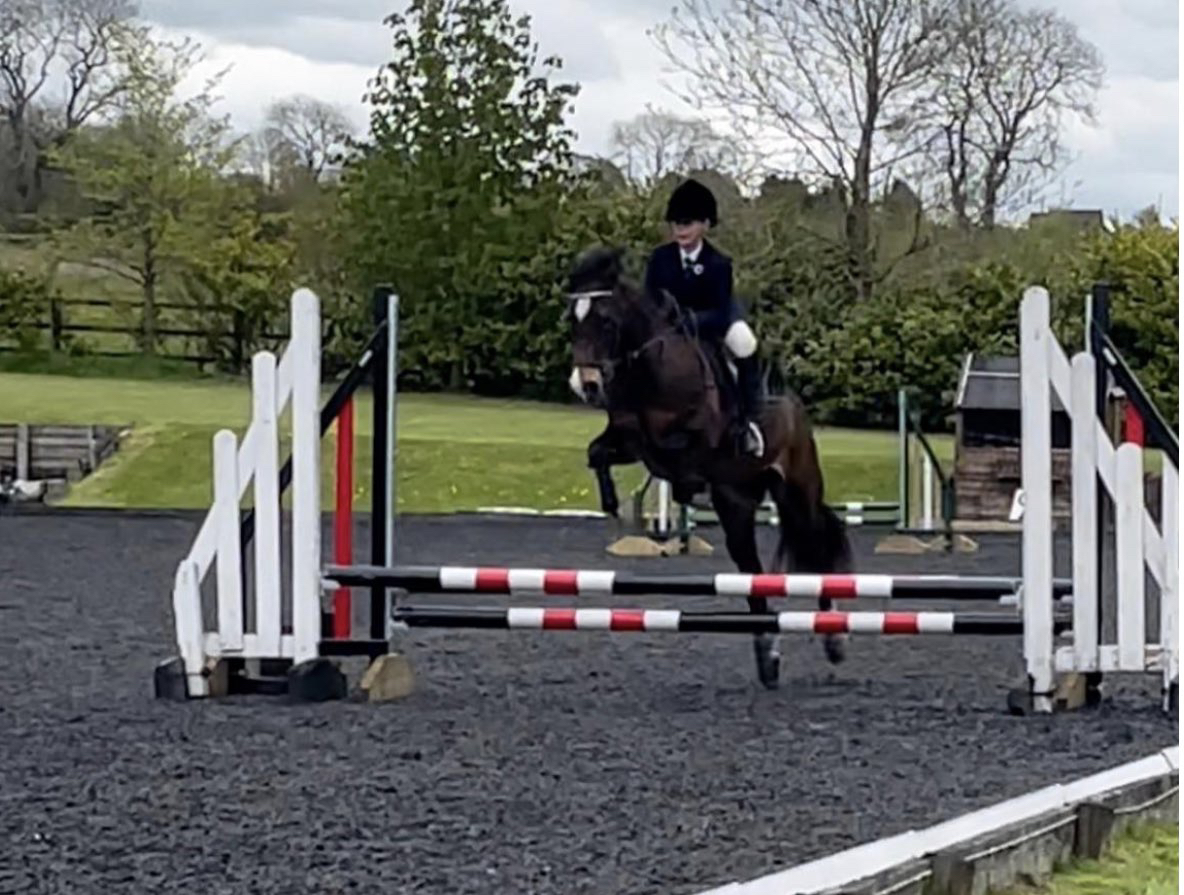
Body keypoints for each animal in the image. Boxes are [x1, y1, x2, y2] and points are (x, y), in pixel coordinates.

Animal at [563, 245, 852, 686]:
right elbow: (601, 453)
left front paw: (677, 489)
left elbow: (673, 450)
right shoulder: (627, 440)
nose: (586, 386)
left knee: (815, 542)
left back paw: (833, 638)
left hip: (797, 490)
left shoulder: (695, 436)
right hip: (737, 504)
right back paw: (768, 657)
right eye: (572, 321)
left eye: (607, 321)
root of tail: (796, 410)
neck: (649, 369)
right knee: (753, 571)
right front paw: (612, 505)